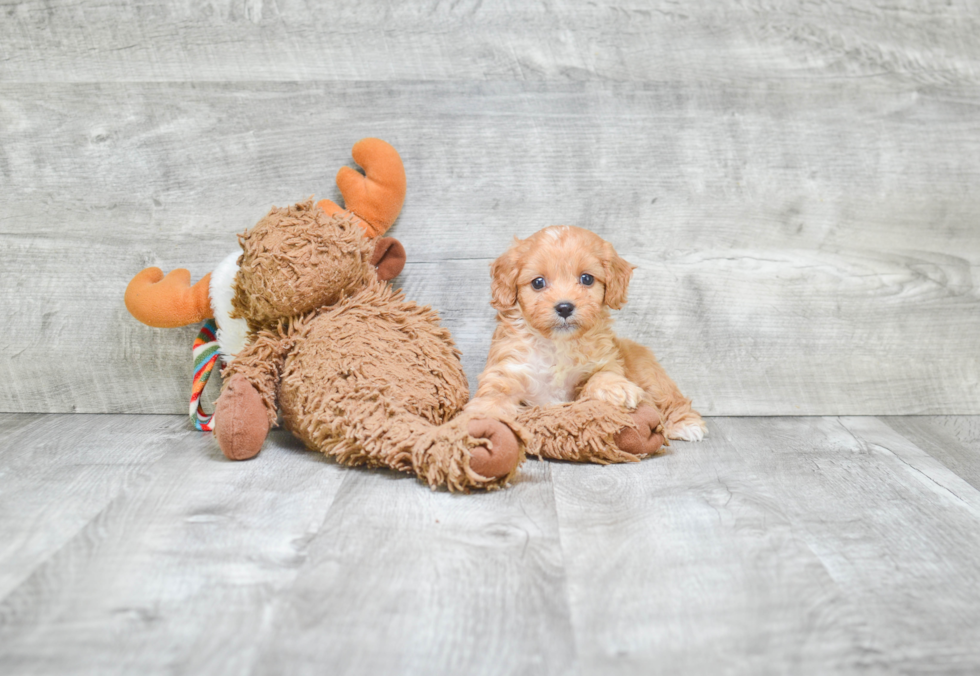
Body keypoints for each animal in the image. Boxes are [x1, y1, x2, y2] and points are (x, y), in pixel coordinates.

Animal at [468, 226, 704, 444]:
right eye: (538, 282)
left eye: (587, 279)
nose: (564, 307)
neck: (558, 344)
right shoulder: (507, 370)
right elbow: (494, 395)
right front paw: (483, 418)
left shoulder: (606, 361)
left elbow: (601, 376)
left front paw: (616, 387)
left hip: (651, 376)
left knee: (671, 399)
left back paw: (686, 424)